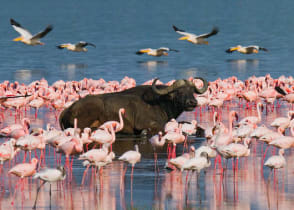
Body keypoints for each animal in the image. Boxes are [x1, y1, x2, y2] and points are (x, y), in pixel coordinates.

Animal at [58, 78, 208, 135]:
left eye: (192, 91)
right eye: (179, 92)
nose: (192, 103)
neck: (161, 102)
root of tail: (68, 109)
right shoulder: (149, 124)